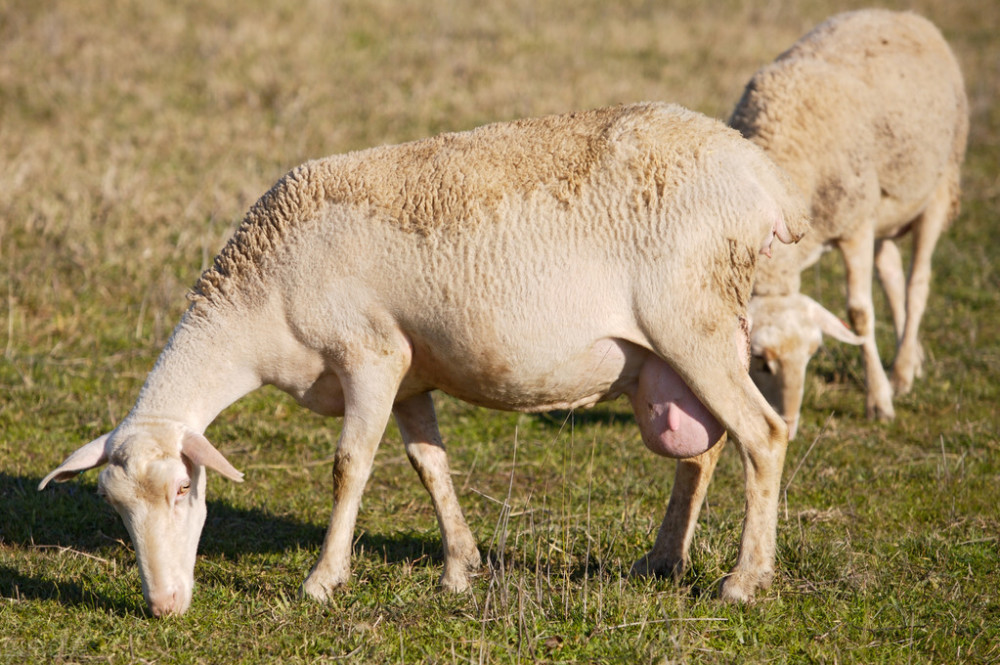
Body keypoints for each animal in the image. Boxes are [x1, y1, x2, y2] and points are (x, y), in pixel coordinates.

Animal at [39, 101, 808, 616]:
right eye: (113, 507)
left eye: (180, 491)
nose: (163, 606)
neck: (261, 303)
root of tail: (762, 177)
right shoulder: (410, 373)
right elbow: (428, 463)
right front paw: (461, 567)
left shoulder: (369, 354)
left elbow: (350, 466)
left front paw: (323, 579)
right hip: (683, 344)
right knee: (704, 449)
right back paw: (663, 558)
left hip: (693, 318)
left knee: (763, 436)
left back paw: (743, 582)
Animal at [728, 9, 968, 440]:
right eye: (761, 360)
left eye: (812, 355)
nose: (788, 426)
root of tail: (900, 14)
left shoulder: (856, 226)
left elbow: (860, 314)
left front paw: (880, 401)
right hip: (883, 208)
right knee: (891, 273)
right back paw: (911, 362)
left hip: (938, 186)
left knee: (917, 282)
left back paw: (902, 372)